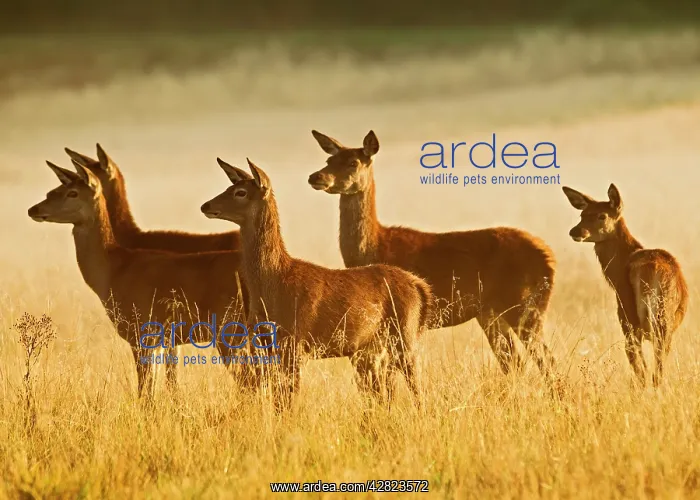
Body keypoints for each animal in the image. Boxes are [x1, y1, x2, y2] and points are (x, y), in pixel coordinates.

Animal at [27, 160, 252, 399]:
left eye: (73, 193)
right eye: (52, 191)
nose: (34, 209)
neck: (113, 269)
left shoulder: (142, 331)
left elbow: (145, 392)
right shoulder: (160, 339)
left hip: (230, 329)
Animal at [200, 158, 436, 410]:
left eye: (240, 192)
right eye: (230, 186)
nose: (206, 206)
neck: (273, 282)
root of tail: (419, 285)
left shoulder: (295, 342)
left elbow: (289, 401)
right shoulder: (265, 345)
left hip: (404, 335)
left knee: (417, 388)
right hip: (372, 347)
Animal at [307, 130, 558, 384]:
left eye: (353, 162)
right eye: (329, 159)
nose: (315, 177)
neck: (375, 246)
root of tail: (550, 257)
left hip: (525, 304)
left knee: (546, 359)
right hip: (492, 312)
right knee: (515, 361)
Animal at [562, 184, 688, 387]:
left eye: (602, 215)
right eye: (582, 214)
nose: (575, 231)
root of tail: (652, 268)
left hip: (631, 318)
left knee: (644, 369)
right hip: (657, 321)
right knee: (654, 370)